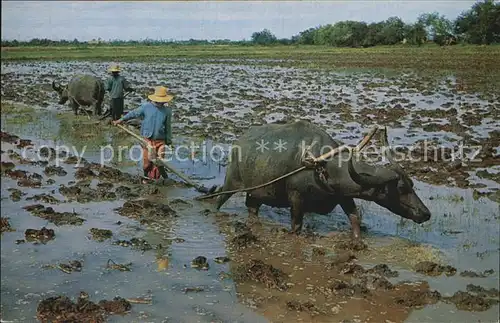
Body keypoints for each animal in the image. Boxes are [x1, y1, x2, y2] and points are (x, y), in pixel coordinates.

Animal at [214, 120, 430, 239]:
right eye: (401, 188)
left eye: (411, 185)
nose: (426, 214)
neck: (324, 167)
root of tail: (238, 142)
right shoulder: (296, 198)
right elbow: (296, 225)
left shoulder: (344, 196)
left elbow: (354, 219)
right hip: (231, 181)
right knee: (218, 198)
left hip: (255, 193)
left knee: (252, 208)